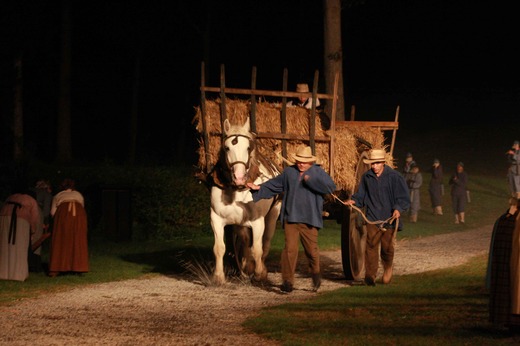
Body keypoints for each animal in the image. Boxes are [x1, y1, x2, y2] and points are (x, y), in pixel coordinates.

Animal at [209, 116, 280, 284]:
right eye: (227, 147)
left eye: (248, 147)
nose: (239, 177)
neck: (237, 190)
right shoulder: (216, 218)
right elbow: (220, 248)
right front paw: (218, 276)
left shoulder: (257, 221)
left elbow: (257, 248)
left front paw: (259, 273)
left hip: (273, 214)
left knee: (266, 241)